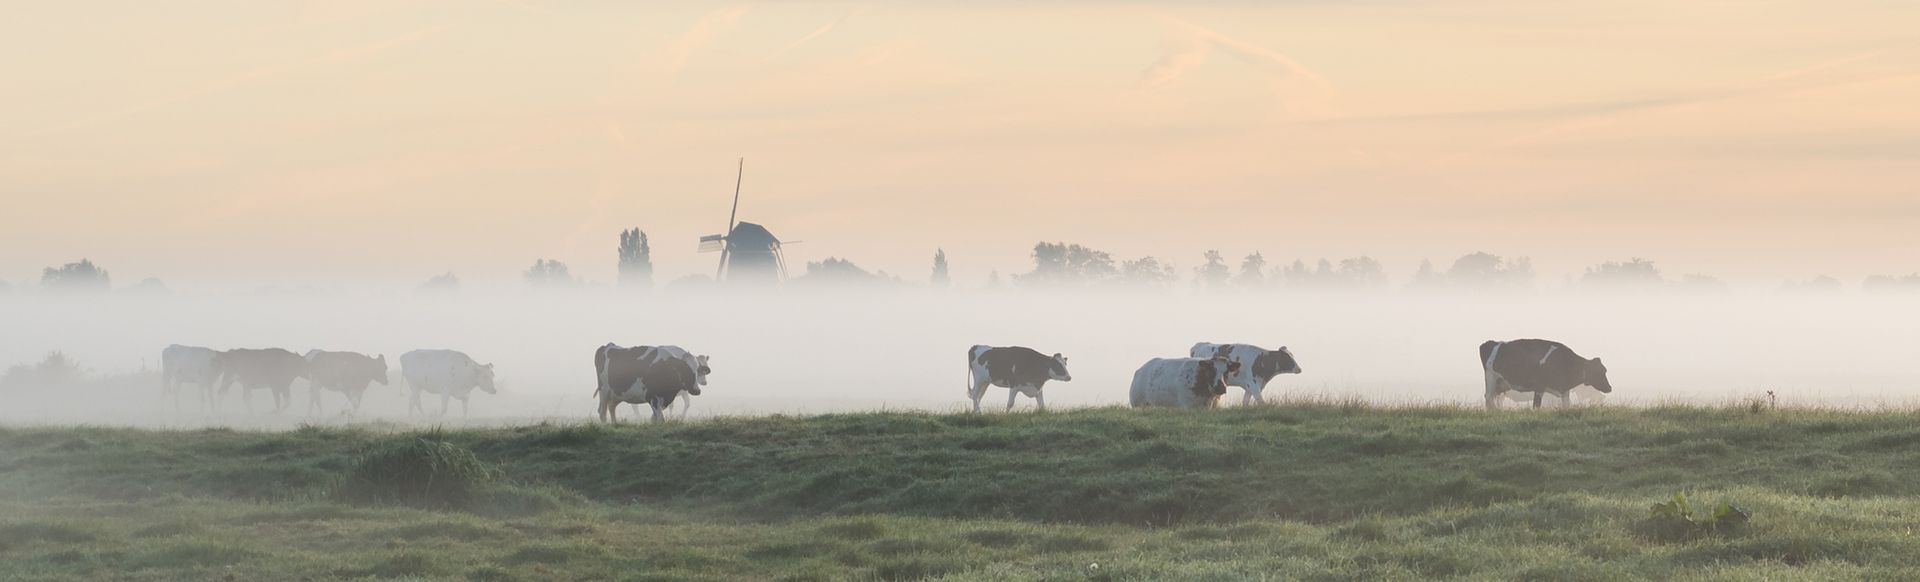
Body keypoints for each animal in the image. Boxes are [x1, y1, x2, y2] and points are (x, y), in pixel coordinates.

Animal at [1474, 338, 1612, 411]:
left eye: (1605, 370)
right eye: (1599, 372)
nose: (1609, 388)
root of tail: (1491, 342)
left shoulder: (1564, 389)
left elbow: (1566, 405)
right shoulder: (1539, 387)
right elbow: (1536, 406)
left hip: (1500, 385)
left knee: (1493, 399)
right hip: (1491, 378)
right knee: (1488, 398)